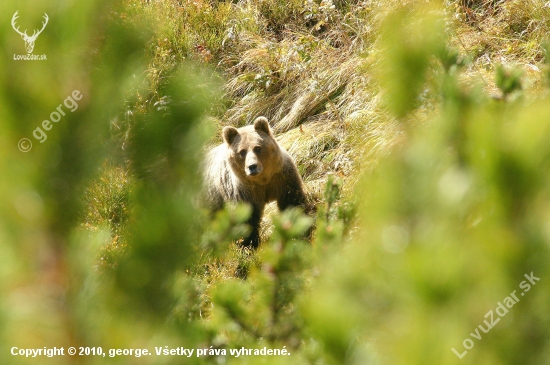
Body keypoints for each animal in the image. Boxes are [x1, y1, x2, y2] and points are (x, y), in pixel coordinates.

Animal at [206, 116, 310, 247]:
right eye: (242, 151)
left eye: (257, 148)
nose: (252, 166)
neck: (263, 180)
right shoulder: (243, 190)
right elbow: (246, 218)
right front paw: (248, 243)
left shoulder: (282, 178)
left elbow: (292, 202)